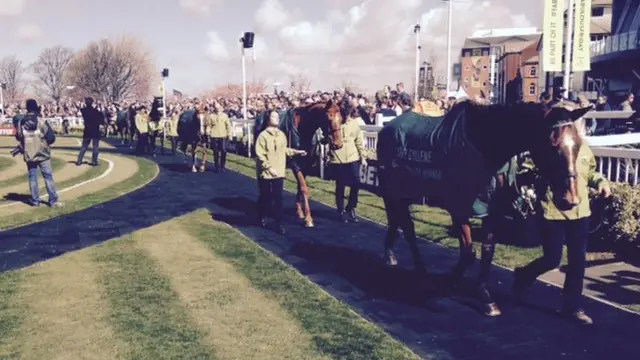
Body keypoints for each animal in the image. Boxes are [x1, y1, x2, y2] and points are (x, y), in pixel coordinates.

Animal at [276, 98, 342, 228]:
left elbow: (300, 187)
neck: (302, 129)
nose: (338, 144)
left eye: (341, 119)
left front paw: (299, 212)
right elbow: (304, 188)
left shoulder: (304, 166)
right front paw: (308, 218)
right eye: (329, 118)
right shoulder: (295, 165)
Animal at [378, 99, 592, 316]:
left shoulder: (492, 210)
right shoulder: (459, 208)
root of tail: (388, 126)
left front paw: (486, 299)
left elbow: (487, 252)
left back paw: (391, 255)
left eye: (577, 144)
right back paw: (419, 270)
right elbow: (469, 253)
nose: (570, 199)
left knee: (397, 220)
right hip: (395, 189)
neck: (485, 148)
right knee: (407, 227)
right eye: (552, 145)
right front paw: (446, 284)